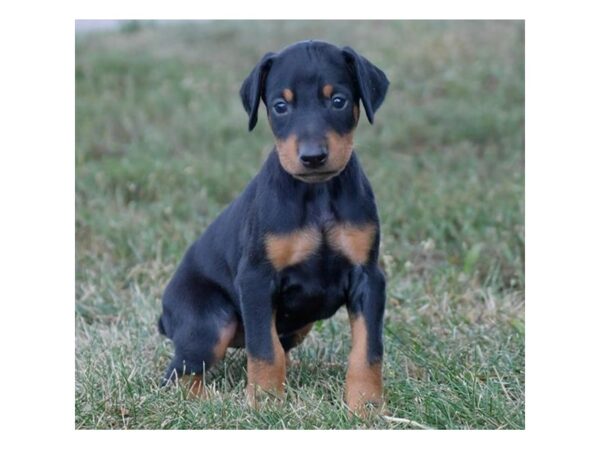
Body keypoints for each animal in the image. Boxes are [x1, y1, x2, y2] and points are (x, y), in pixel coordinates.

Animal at [157, 40, 390, 414]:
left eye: (338, 101)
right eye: (281, 106)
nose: (312, 157)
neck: (316, 194)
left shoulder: (368, 277)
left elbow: (367, 350)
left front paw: (365, 405)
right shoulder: (255, 278)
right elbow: (265, 351)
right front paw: (265, 404)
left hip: (297, 325)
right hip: (209, 321)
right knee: (178, 374)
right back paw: (213, 402)